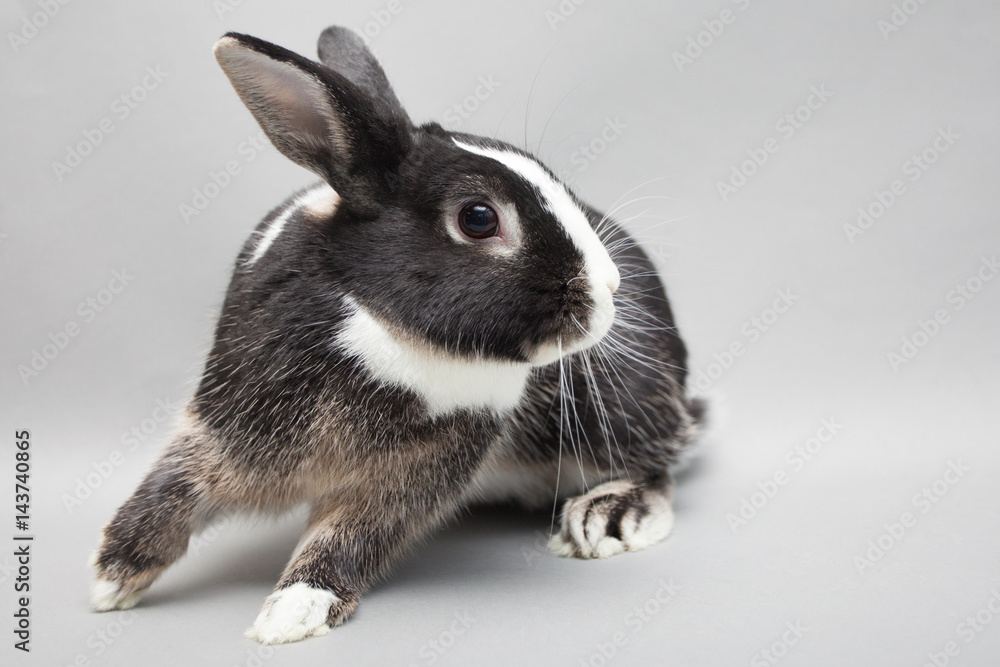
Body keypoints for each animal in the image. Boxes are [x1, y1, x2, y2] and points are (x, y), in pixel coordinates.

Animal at [89, 26, 706, 645]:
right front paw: (111, 579)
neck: (379, 322)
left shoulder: (410, 475)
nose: (609, 286)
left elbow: (351, 537)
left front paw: (292, 612)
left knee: (658, 464)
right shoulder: (226, 432)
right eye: (478, 218)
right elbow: (173, 489)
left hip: (614, 410)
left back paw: (608, 516)